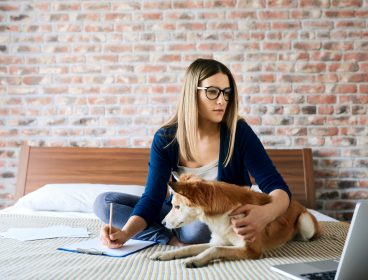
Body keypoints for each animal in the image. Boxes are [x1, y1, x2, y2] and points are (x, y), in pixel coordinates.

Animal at [151, 174, 320, 268]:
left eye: (177, 207)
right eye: (173, 205)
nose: (163, 223)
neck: (224, 216)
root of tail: (295, 201)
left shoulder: (250, 250)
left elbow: (215, 250)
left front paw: (195, 260)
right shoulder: (218, 241)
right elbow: (189, 248)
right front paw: (164, 254)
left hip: (305, 221)